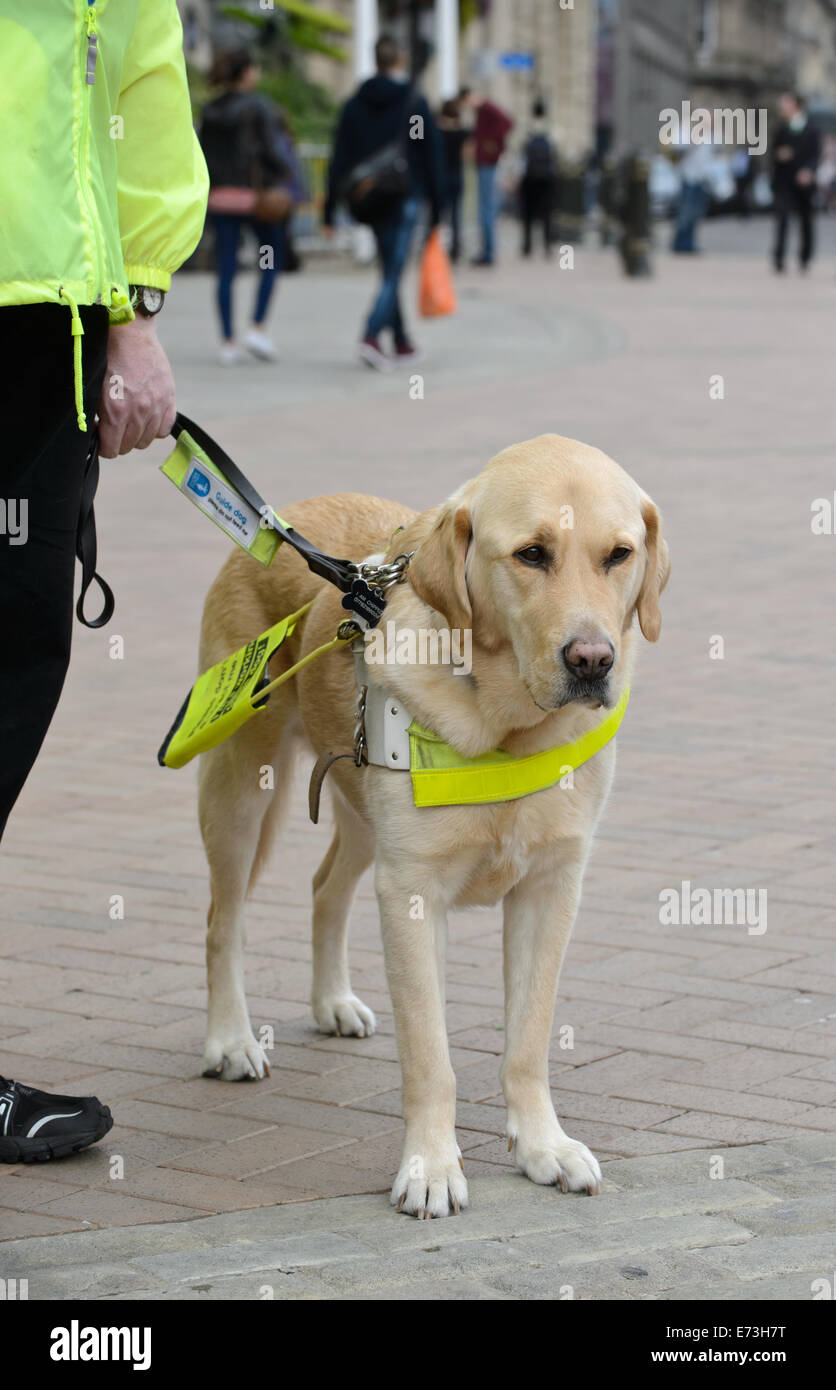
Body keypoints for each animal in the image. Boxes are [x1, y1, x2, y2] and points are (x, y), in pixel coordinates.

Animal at [193, 430, 664, 1217]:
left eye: (619, 555)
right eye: (532, 554)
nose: (592, 660)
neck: (509, 730)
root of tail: (283, 514)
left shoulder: (552, 887)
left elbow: (528, 1039)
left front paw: (543, 1146)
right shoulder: (411, 892)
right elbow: (430, 1056)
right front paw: (431, 1167)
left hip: (356, 803)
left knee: (325, 887)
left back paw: (331, 1002)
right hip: (240, 785)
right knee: (222, 918)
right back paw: (229, 1040)